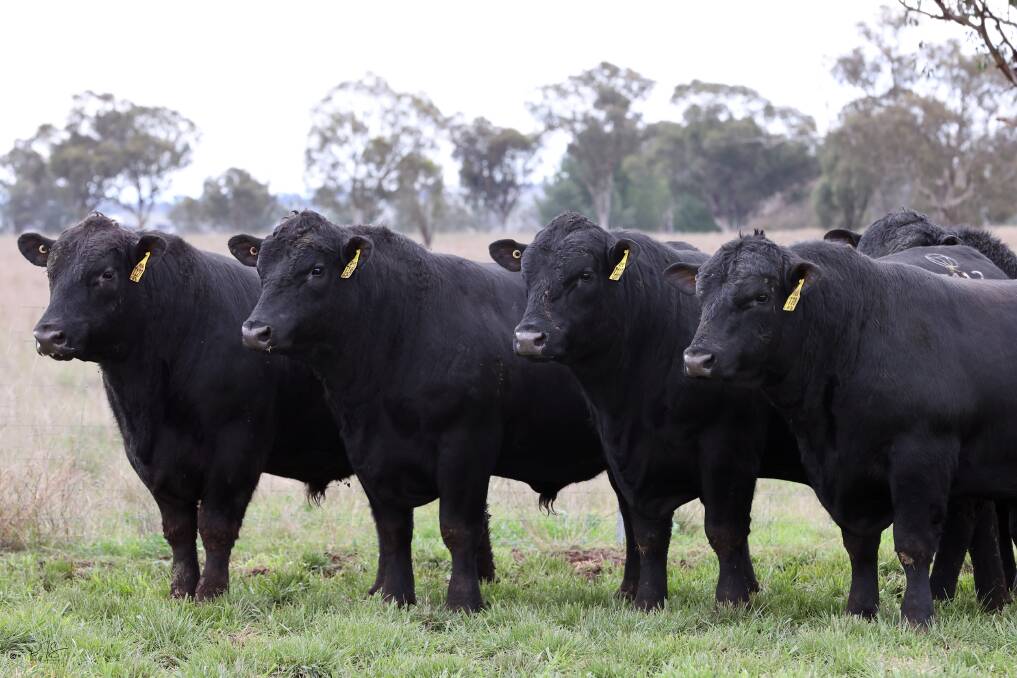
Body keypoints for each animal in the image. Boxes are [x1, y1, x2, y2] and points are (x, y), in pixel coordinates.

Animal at [18, 213, 356, 601]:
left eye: (106, 274)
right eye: (51, 272)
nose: (48, 336)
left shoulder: (237, 450)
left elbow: (216, 526)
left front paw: (211, 592)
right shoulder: (150, 460)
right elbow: (178, 529)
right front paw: (180, 589)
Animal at [228, 209, 630, 612]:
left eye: (316, 270)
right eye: (261, 268)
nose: (254, 331)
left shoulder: (464, 447)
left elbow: (456, 528)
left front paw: (463, 601)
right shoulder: (368, 451)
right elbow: (392, 530)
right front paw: (394, 595)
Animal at [489, 212, 812, 611]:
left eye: (584, 275)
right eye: (527, 273)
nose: (528, 339)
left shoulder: (727, 448)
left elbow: (724, 529)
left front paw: (731, 599)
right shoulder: (624, 456)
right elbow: (645, 533)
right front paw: (645, 598)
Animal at [669, 232, 1017, 625]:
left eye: (760, 296)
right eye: (701, 294)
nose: (697, 360)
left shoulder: (921, 458)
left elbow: (913, 544)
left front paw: (916, 616)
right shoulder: (844, 470)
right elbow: (859, 544)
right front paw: (860, 609)